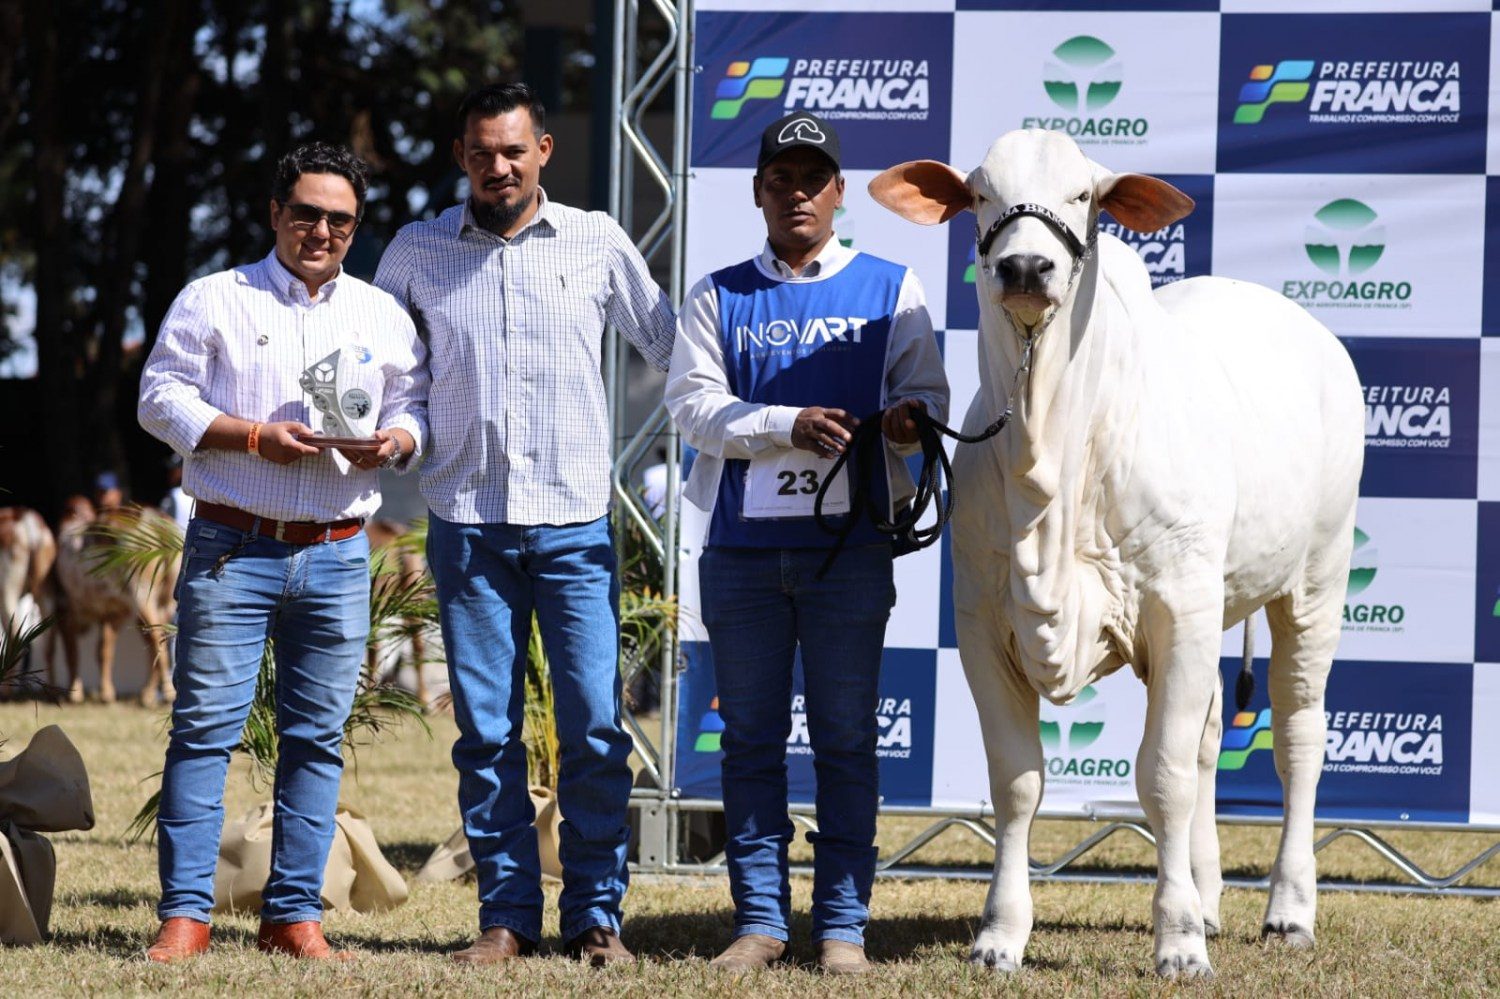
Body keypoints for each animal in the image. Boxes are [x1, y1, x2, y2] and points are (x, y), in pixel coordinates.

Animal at [876, 128, 1368, 978]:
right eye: (980, 193)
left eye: (1084, 196)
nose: (1026, 267)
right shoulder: (981, 623)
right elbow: (1017, 780)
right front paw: (1000, 934)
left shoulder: (1179, 610)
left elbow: (1162, 777)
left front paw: (1178, 943)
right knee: (1211, 737)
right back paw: (1208, 896)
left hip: (1315, 580)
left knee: (1298, 734)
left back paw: (1287, 909)